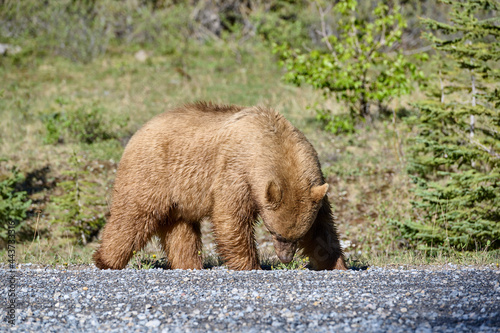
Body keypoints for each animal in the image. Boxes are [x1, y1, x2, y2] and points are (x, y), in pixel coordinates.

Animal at [92, 102, 346, 272]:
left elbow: (324, 228)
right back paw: (106, 260)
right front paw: (249, 265)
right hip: (152, 174)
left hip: (180, 197)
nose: (285, 258)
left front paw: (335, 263)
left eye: (298, 236)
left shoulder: (314, 187)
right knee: (132, 217)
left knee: (181, 232)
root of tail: (139, 131)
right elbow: (231, 217)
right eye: (275, 233)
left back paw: (189, 264)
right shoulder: (236, 171)